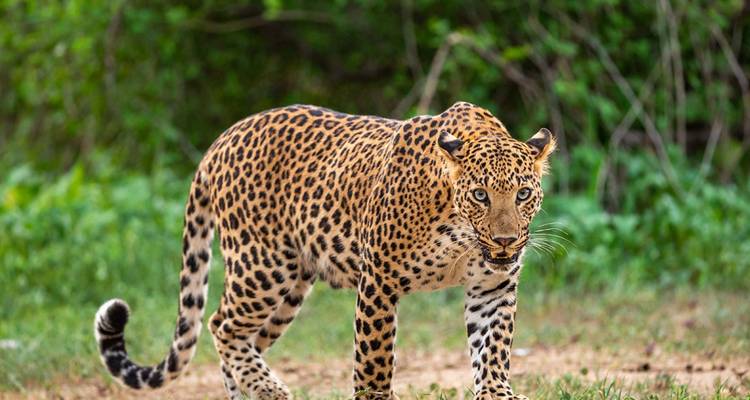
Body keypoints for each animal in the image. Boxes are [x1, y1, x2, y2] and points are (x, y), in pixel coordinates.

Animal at [94, 101, 555, 399]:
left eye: (523, 193)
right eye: (480, 195)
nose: (505, 240)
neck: (459, 230)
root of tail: (220, 141)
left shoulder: (493, 287)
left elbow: (493, 348)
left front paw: (497, 392)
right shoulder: (379, 282)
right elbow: (374, 362)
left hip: (291, 287)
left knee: (243, 341)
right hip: (262, 266)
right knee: (221, 325)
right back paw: (272, 389)